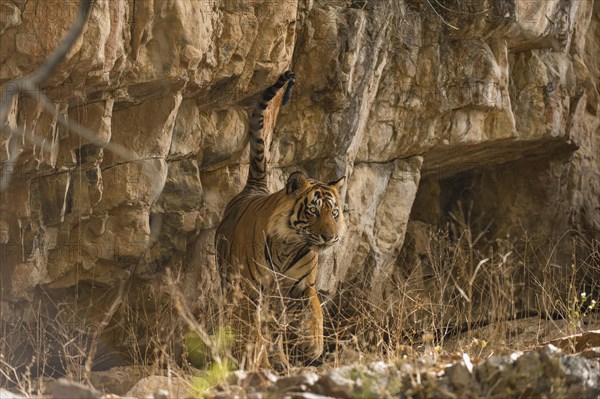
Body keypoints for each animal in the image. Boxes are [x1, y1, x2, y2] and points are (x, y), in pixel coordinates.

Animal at [216, 70, 346, 368]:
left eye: (334, 213)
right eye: (314, 211)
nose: (331, 237)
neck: (289, 244)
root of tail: (255, 187)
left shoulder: (303, 287)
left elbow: (315, 315)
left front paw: (312, 347)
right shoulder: (251, 292)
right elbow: (253, 333)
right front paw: (258, 362)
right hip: (234, 287)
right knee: (242, 324)